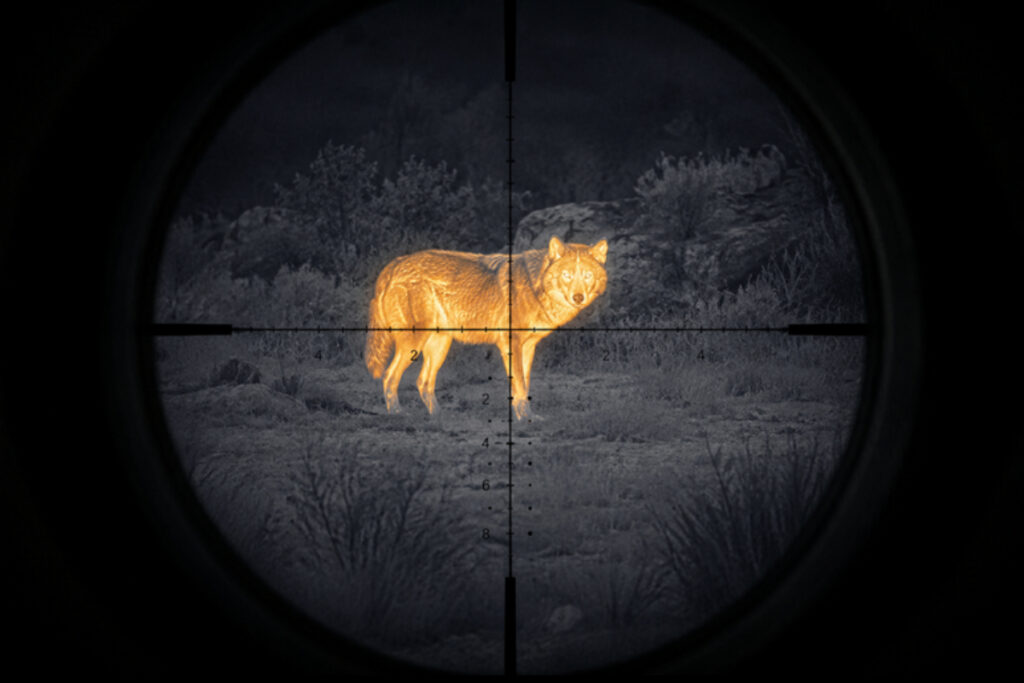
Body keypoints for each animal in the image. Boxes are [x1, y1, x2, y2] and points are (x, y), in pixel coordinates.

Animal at [365, 236, 608, 419]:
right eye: (567, 275)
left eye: (587, 275)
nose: (578, 297)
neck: (535, 286)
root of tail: (395, 263)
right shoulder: (511, 345)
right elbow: (520, 386)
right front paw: (525, 420)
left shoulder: (528, 347)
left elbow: (524, 386)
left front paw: (526, 417)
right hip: (414, 345)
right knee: (389, 376)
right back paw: (397, 414)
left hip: (439, 347)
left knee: (422, 382)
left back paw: (440, 417)